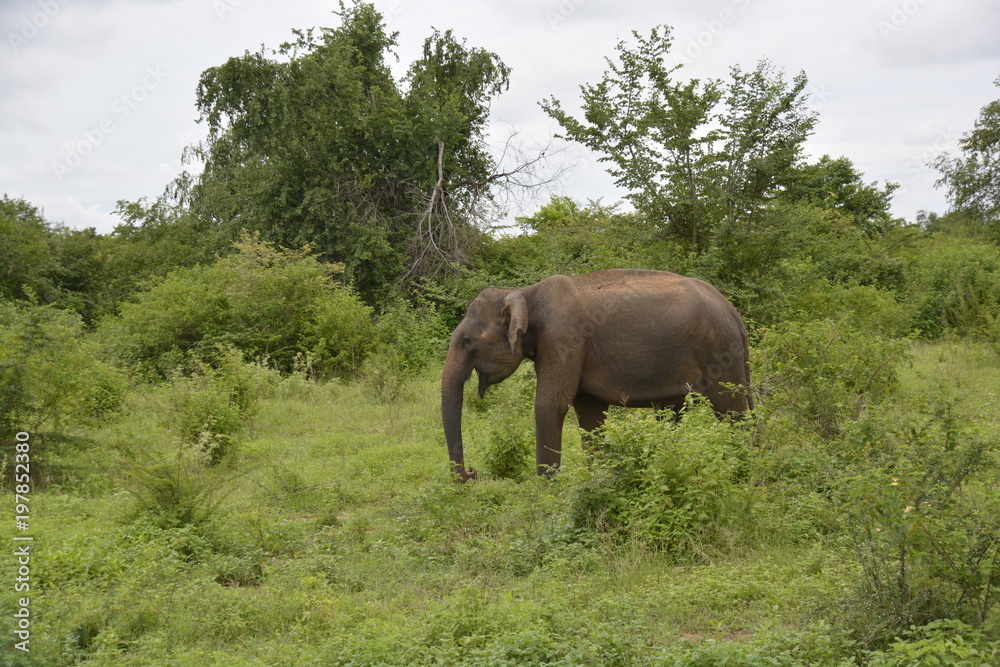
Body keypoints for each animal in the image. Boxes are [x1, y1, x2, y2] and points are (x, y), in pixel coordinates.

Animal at [441, 269, 753, 480]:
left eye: (467, 341)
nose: (471, 473)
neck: (525, 293)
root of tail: (735, 315)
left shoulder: (564, 337)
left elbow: (550, 405)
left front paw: (545, 493)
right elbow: (589, 413)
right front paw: (597, 480)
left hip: (719, 351)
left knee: (732, 411)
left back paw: (742, 472)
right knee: (673, 413)